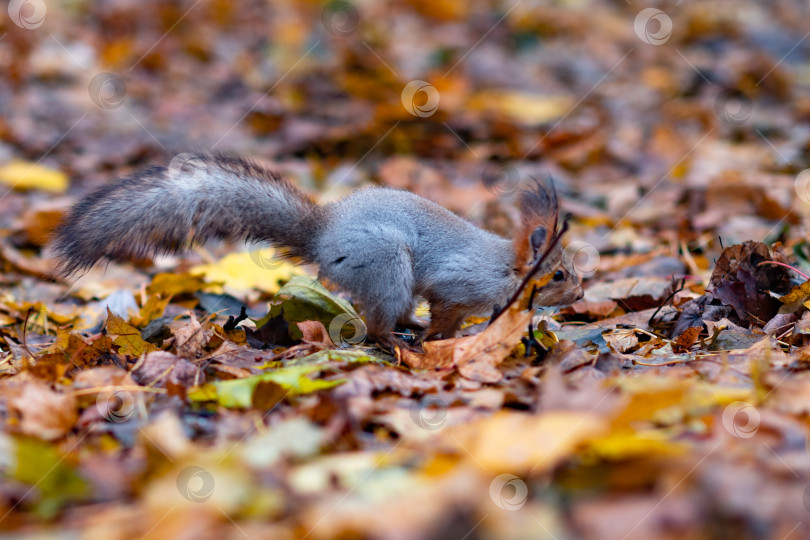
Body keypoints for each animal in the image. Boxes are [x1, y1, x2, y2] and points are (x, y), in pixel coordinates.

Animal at [52, 153, 580, 346]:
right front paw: (443, 340)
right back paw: (397, 341)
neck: (505, 269)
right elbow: (447, 311)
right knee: (377, 321)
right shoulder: (459, 284)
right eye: (557, 275)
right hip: (387, 264)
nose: (579, 296)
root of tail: (323, 236)